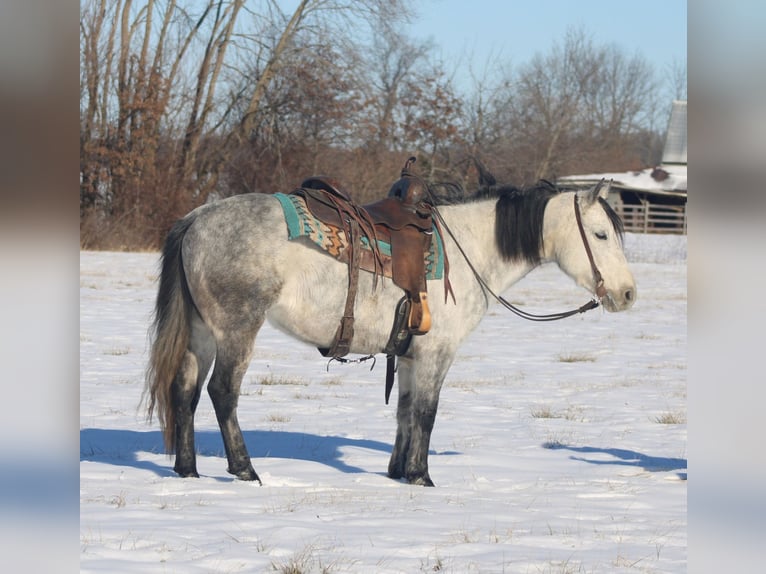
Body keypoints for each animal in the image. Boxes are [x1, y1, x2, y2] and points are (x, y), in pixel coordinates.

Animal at [144, 179, 636, 486]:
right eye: (600, 234)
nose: (628, 294)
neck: (469, 249)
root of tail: (196, 218)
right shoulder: (437, 355)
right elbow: (426, 414)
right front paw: (422, 476)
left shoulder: (410, 355)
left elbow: (403, 413)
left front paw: (398, 472)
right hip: (237, 329)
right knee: (222, 392)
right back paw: (245, 470)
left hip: (202, 333)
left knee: (185, 392)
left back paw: (187, 470)